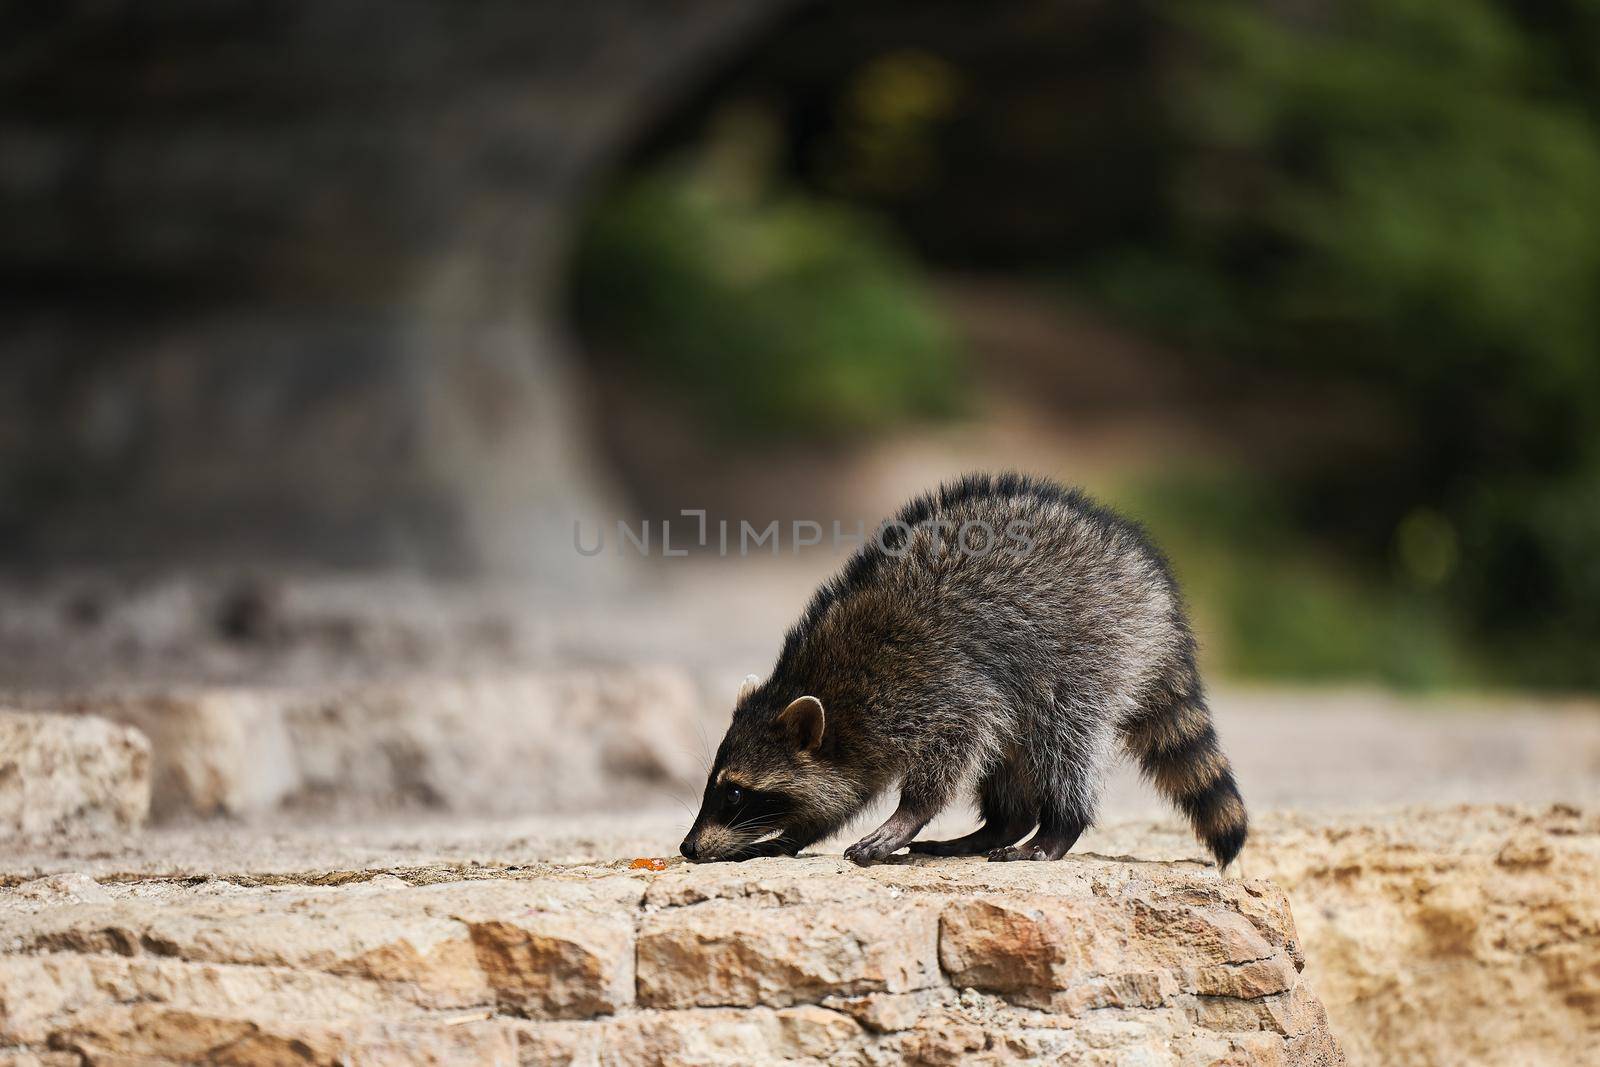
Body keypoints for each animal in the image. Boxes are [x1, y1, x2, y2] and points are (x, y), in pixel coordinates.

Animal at [675, 473, 1248, 870]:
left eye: (733, 793)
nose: (687, 847)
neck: (828, 692)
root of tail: (1155, 591)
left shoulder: (931, 683)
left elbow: (954, 744)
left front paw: (906, 814)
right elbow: (837, 798)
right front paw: (792, 836)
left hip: (1089, 647)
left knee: (1060, 736)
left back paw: (1058, 826)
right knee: (1012, 752)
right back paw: (997, 827)